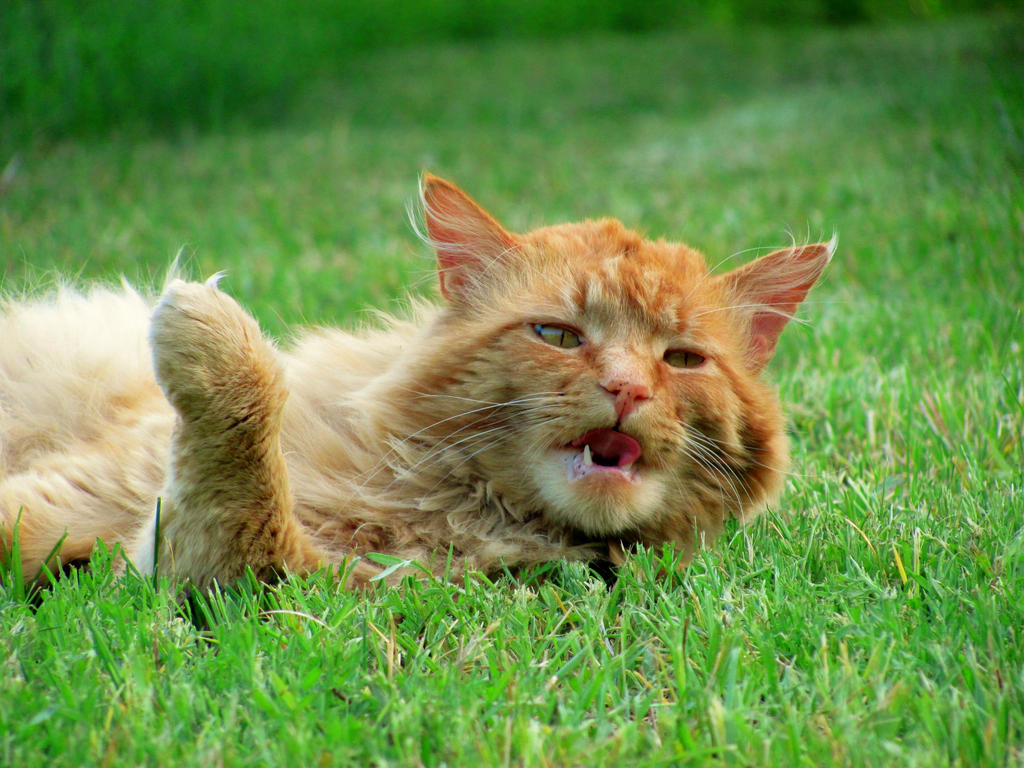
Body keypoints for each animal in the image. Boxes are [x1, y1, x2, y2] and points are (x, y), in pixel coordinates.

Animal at [0, 174, 831, 589]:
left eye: (682, 360)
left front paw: (205, 322)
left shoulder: (260, 578)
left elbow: (246, 492)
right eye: (559, 336)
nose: (628, 388)